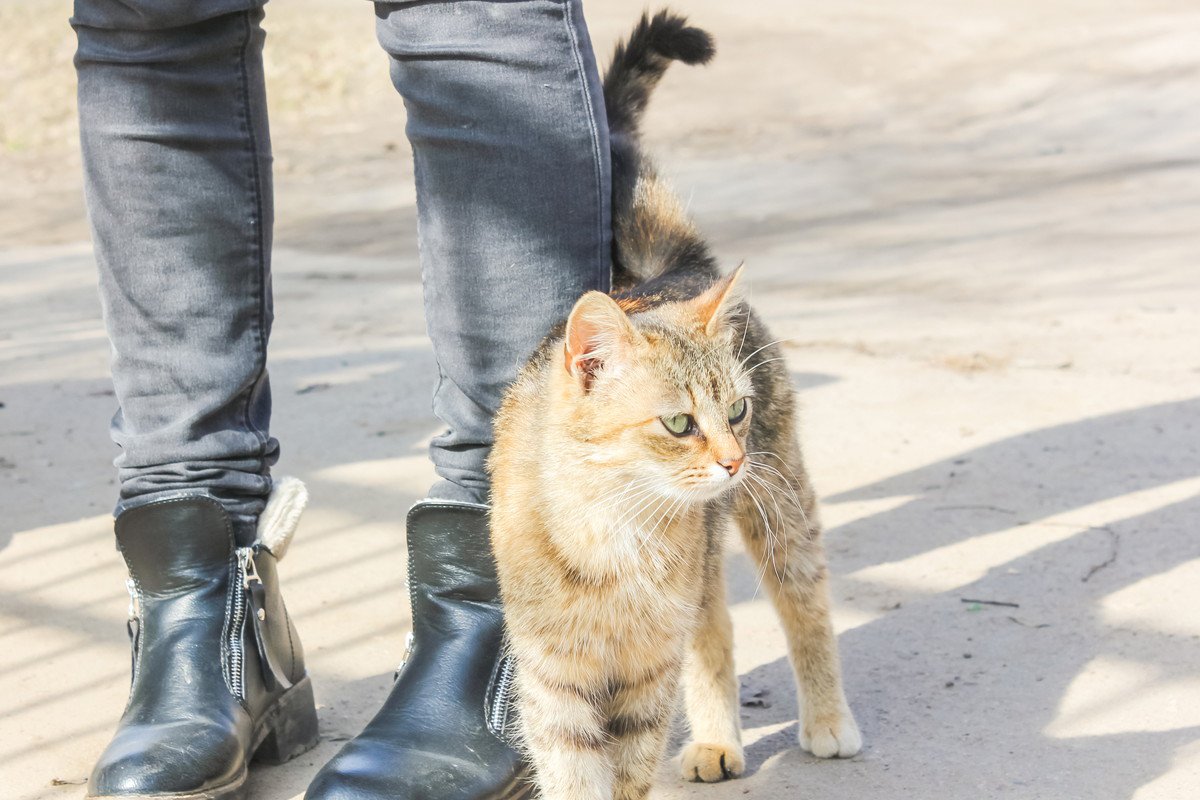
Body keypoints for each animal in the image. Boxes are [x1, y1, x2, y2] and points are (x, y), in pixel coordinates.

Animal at [487, 7, 864, 800]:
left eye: (736, 411)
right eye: (679, 422)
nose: (732, 459)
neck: (611, 534)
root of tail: (673, 271)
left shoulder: (644, 677)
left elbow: (630, 772)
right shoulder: (554, 680)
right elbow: (574, 773)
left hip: (780, 504)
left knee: (803, 602)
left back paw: (826, 720)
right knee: (714, 633)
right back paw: (717, 742)